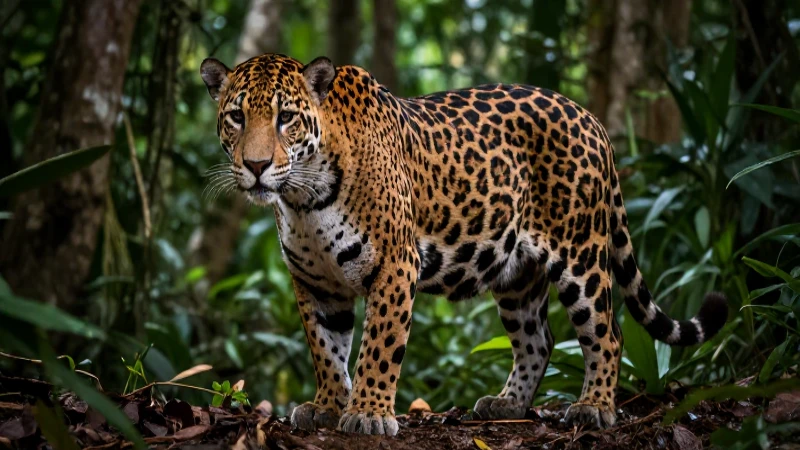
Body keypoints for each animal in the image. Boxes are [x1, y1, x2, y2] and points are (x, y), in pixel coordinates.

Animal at [199, 53, 728, 436]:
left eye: (286, 117)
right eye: (236, 116)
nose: (256, 166)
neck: (304, 199)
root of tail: (589, 118)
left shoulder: (396, 266)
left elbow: (378, 346)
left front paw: (368, 412)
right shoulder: (315, 282)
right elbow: (326, 350)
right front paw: (327, 406)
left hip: (582, 254)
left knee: (608, 332)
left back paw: (593, 407)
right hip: (517, 273)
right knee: (539, 339)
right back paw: (508, 404)